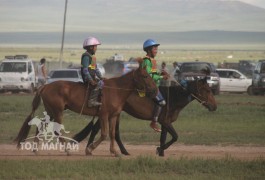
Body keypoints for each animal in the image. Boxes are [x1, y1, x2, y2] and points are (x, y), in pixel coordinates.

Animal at [14, 64, 157, 157]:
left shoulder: (113, 116)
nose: (155, 89)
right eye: (145, 76)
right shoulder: (103, 115)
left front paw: (114, 151)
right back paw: (67, 150)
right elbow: (104, 134)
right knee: (57, 130)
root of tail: (46, 86)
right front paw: (90, 149)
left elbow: (111, 134)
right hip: (58, 111)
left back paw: (35, 149)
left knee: (41, 125)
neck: (116, 90)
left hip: (50, 112)